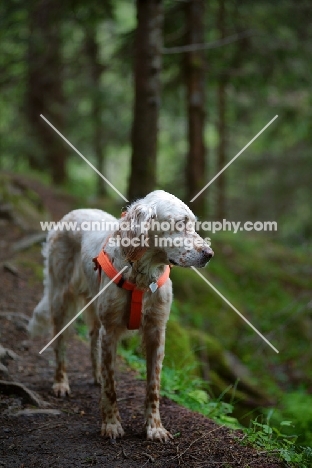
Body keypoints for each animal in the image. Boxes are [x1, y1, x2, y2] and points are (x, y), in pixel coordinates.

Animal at [28, 190, 214, 442]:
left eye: (193, 224)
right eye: (179, 224)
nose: (209, 254)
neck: (142, 278)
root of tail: (71, 214)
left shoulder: (157, 331)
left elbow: (153, 387)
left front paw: (154, 428)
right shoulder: (111, 330)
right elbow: (111, 387)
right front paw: (111, 424)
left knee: (92, 338)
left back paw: (95, 375)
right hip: (60, 299)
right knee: (60, 345)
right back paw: (60, 383)